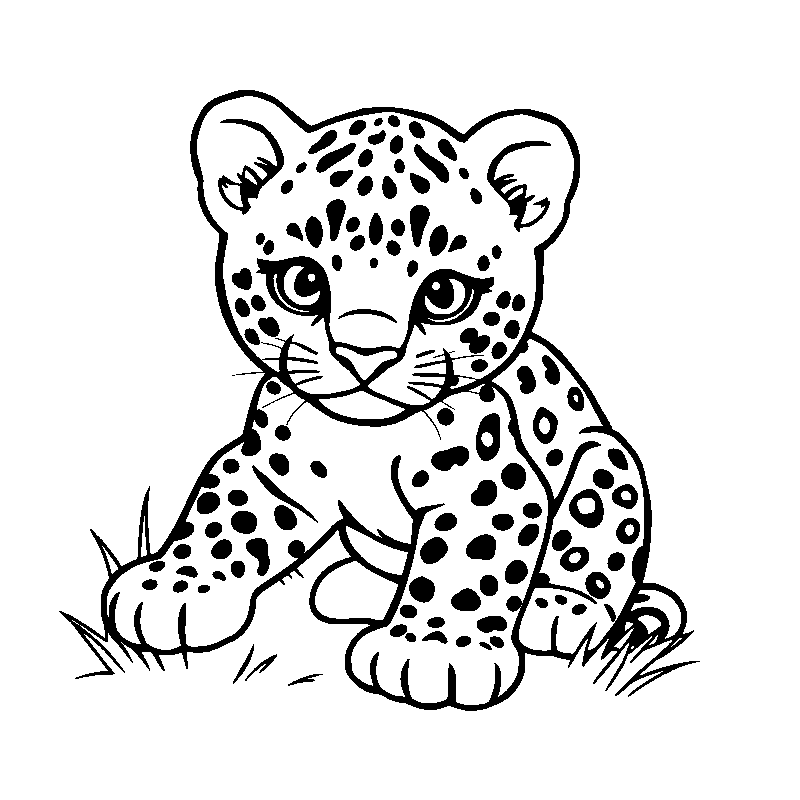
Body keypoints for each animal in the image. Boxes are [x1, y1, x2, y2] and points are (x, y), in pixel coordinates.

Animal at [101, 91, 686, 709]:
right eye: (303, 282)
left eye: (443, 293)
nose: (365, 353)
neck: (367, 438)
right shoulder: (271, 466)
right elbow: (225, 515)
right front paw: (174, 586)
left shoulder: (490, 486)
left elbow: (467, 562)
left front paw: (436, 647)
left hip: (606, 457)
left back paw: (561, 609)